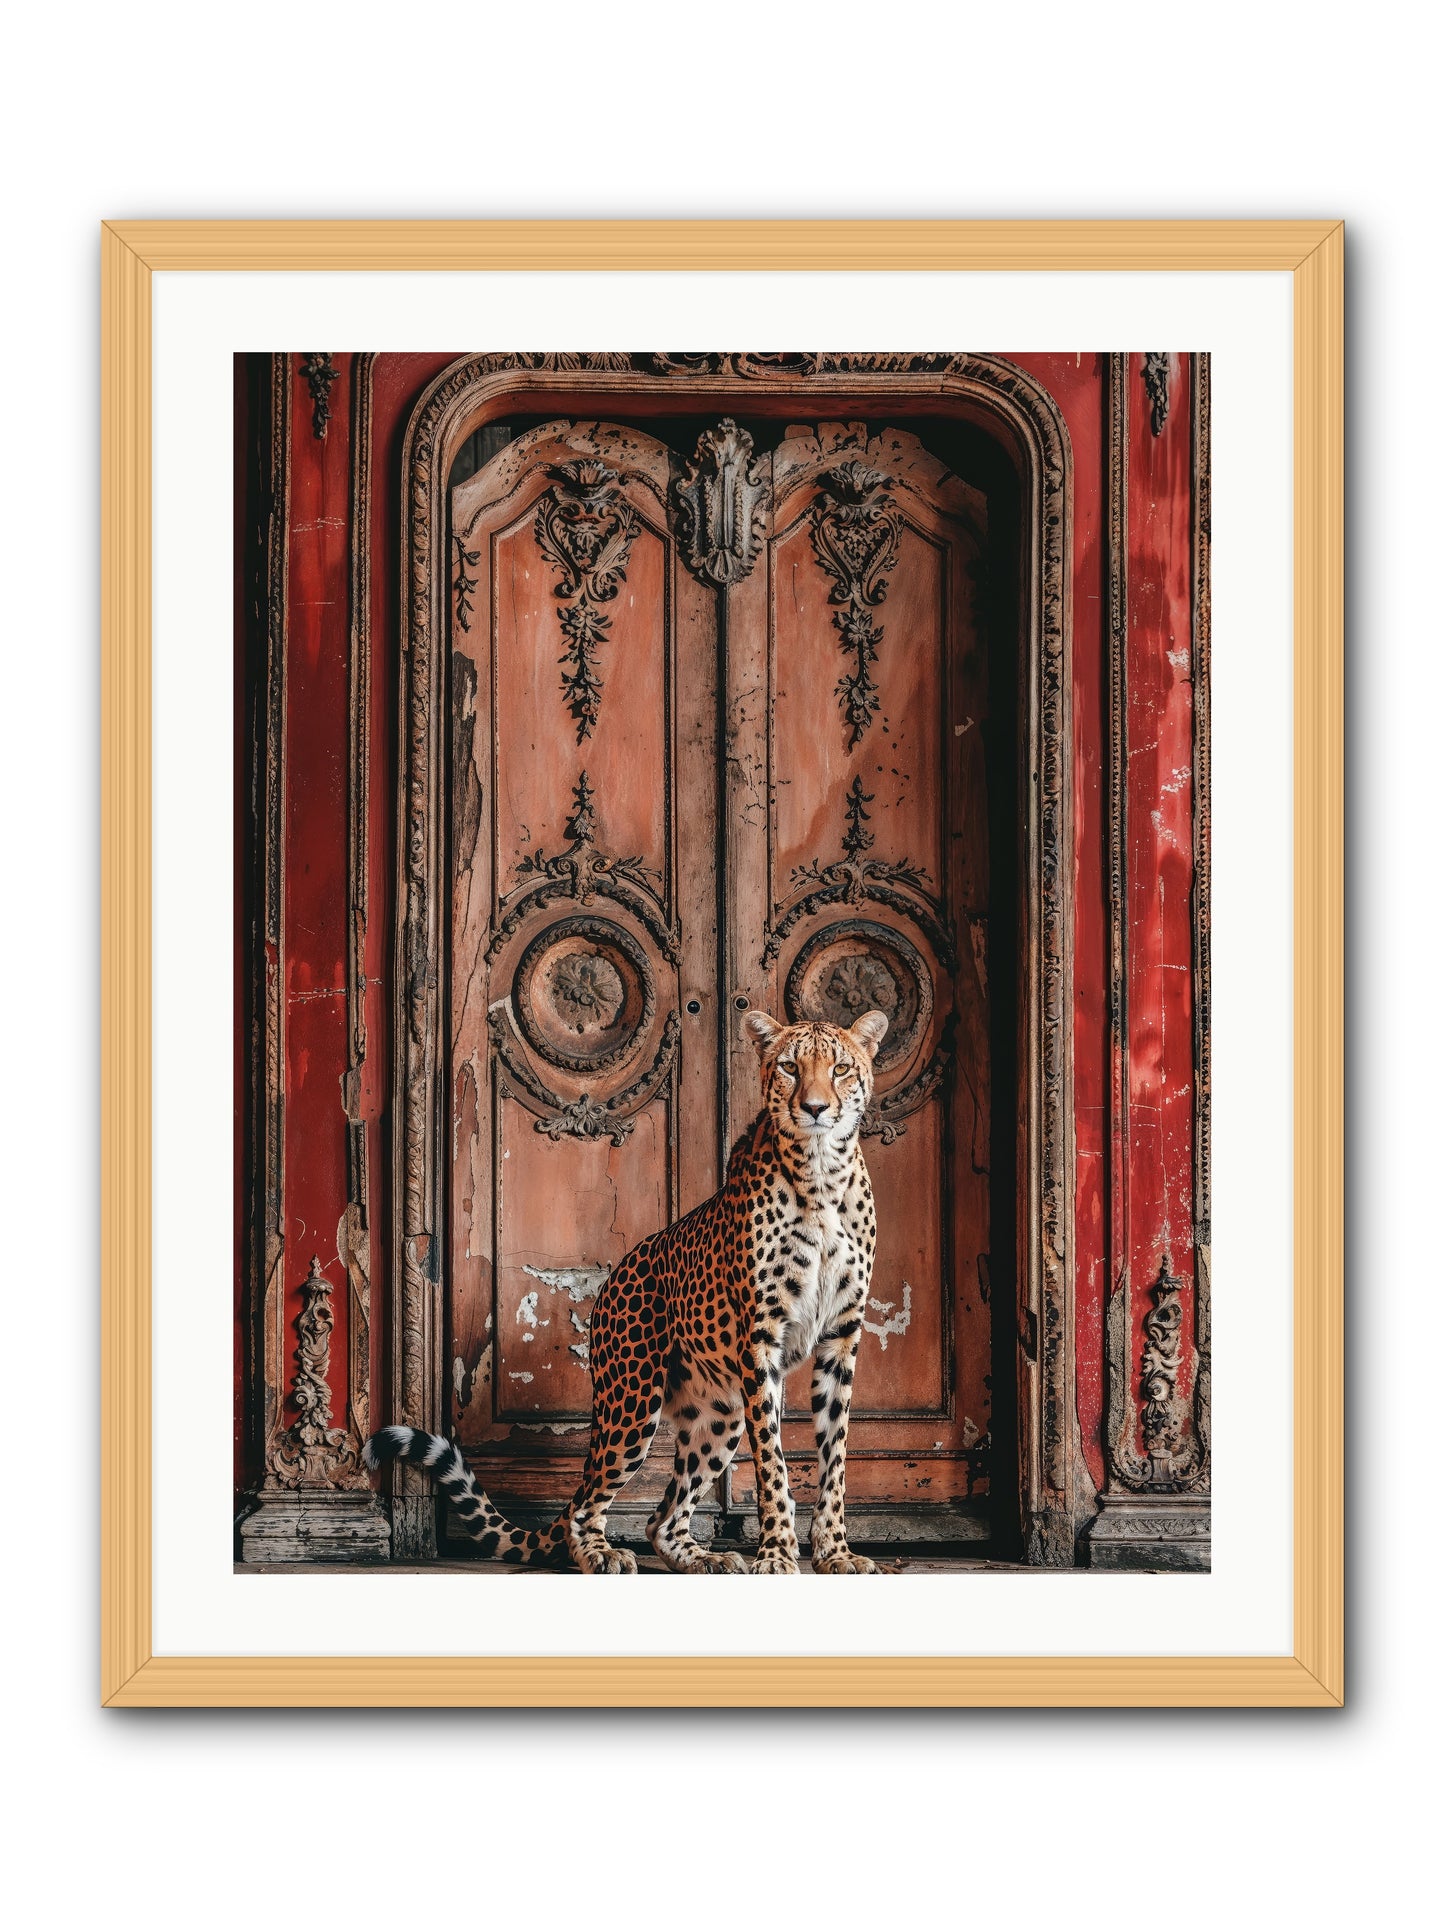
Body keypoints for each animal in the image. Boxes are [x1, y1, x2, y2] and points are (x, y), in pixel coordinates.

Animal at [364, 1006, 889, 1574]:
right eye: (791, 1067)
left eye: (840, 1068)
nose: (815, 1108)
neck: (822, 1175)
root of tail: (615, 1275)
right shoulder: (762, 1339)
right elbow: (773, 1460)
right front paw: (775, 1554)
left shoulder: (841, 1336)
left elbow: (835, 1457)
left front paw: (835, 1553)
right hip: (633, 1401)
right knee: (586, 1504)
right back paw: (602, 1553)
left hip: (719, 1414)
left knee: (661, 1519)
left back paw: (706, 1559)